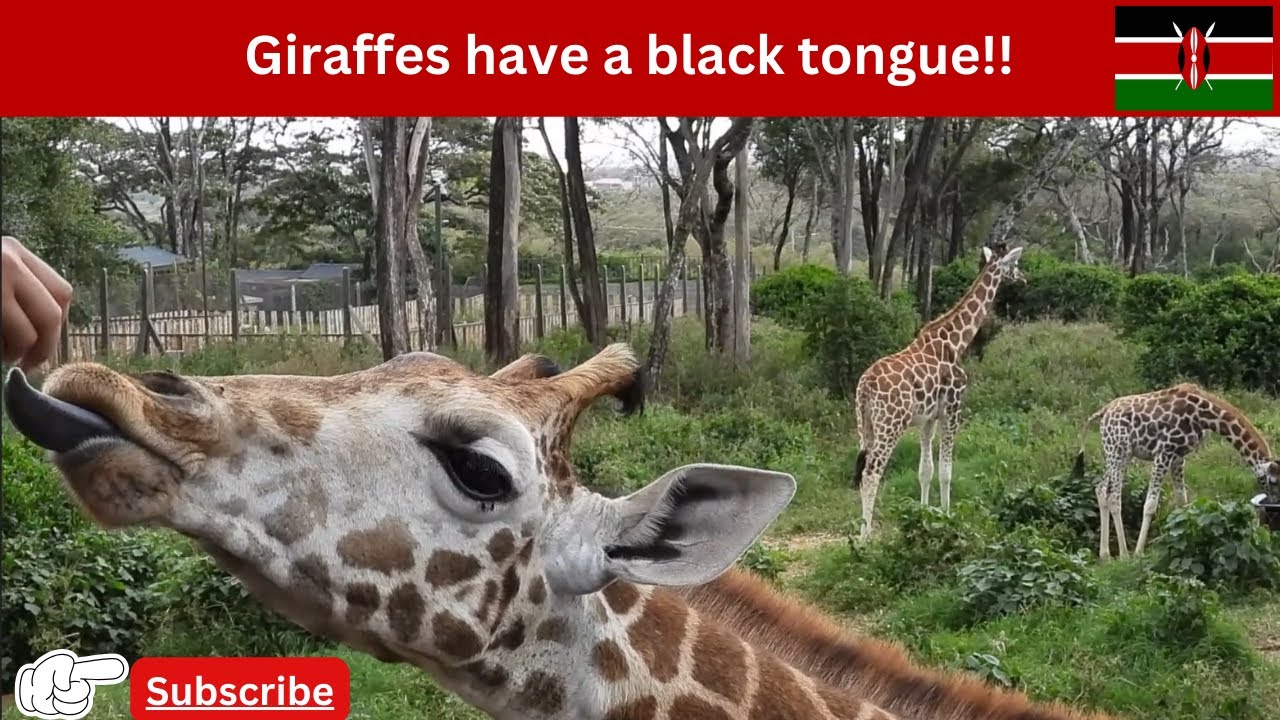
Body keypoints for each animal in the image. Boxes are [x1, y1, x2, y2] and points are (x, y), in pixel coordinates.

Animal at [853, 245, 1026, 539]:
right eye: (1014, 264)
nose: (1024, 278)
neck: (956, 341)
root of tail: (865, 387)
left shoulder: (929, 418)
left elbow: (925, 470)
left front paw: (923, 515)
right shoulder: (953, 408)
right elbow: (946, 470)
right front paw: (947, 515)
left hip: (865, 425)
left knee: (863, 467)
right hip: (890, 425)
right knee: (872, 472)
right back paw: (866, 536)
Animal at [1074, 383, 1280, 561]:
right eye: (1273, 481)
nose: (1274, 504)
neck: (1204, 415)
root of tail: (1102, 413)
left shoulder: (1179, 457)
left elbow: (1182, 500)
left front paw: (1183, 537)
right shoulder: (1163, 452)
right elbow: (1150, 504)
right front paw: (1139, 552)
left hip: (1118, 454)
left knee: (1102, 489)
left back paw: (1105, 555)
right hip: (1118, 451)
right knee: (1114, 497)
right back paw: (1124, 555)